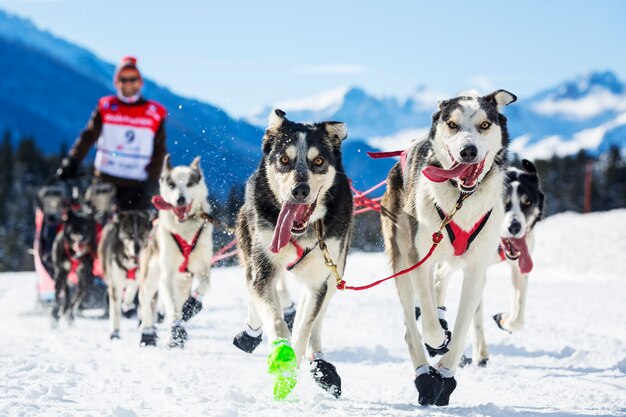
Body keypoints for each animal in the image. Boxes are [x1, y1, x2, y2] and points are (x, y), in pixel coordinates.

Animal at [97, 210, 152, 340]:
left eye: (142, 232)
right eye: (129, 233)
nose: (137, 248)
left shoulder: (140, 277)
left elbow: (133, 289)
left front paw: (127, 304)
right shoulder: (115, 284)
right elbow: (115, 310)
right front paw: (115, 332)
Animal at [234, 109, 352, 398]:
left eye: (318, 160)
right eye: (284, 159)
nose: (300, 190)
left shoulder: (319, 280)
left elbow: (304, 328)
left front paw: (291, 370)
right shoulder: (264, 270)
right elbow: (276, 321)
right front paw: (280, 353)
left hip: (336, 272)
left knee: (316, 322)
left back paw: (319, 362)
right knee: (255, 290)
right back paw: (251, 333)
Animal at [380, 90, 516, 404]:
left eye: (484, 124)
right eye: (452, 124)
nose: (468, 151)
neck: (461, 200)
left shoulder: (476, 271)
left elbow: (464, 325)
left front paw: (445, 374)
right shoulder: (420, 259)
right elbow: (429, 325)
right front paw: (437, 344)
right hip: (401, 259)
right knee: (413, 326)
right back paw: (423, 374)